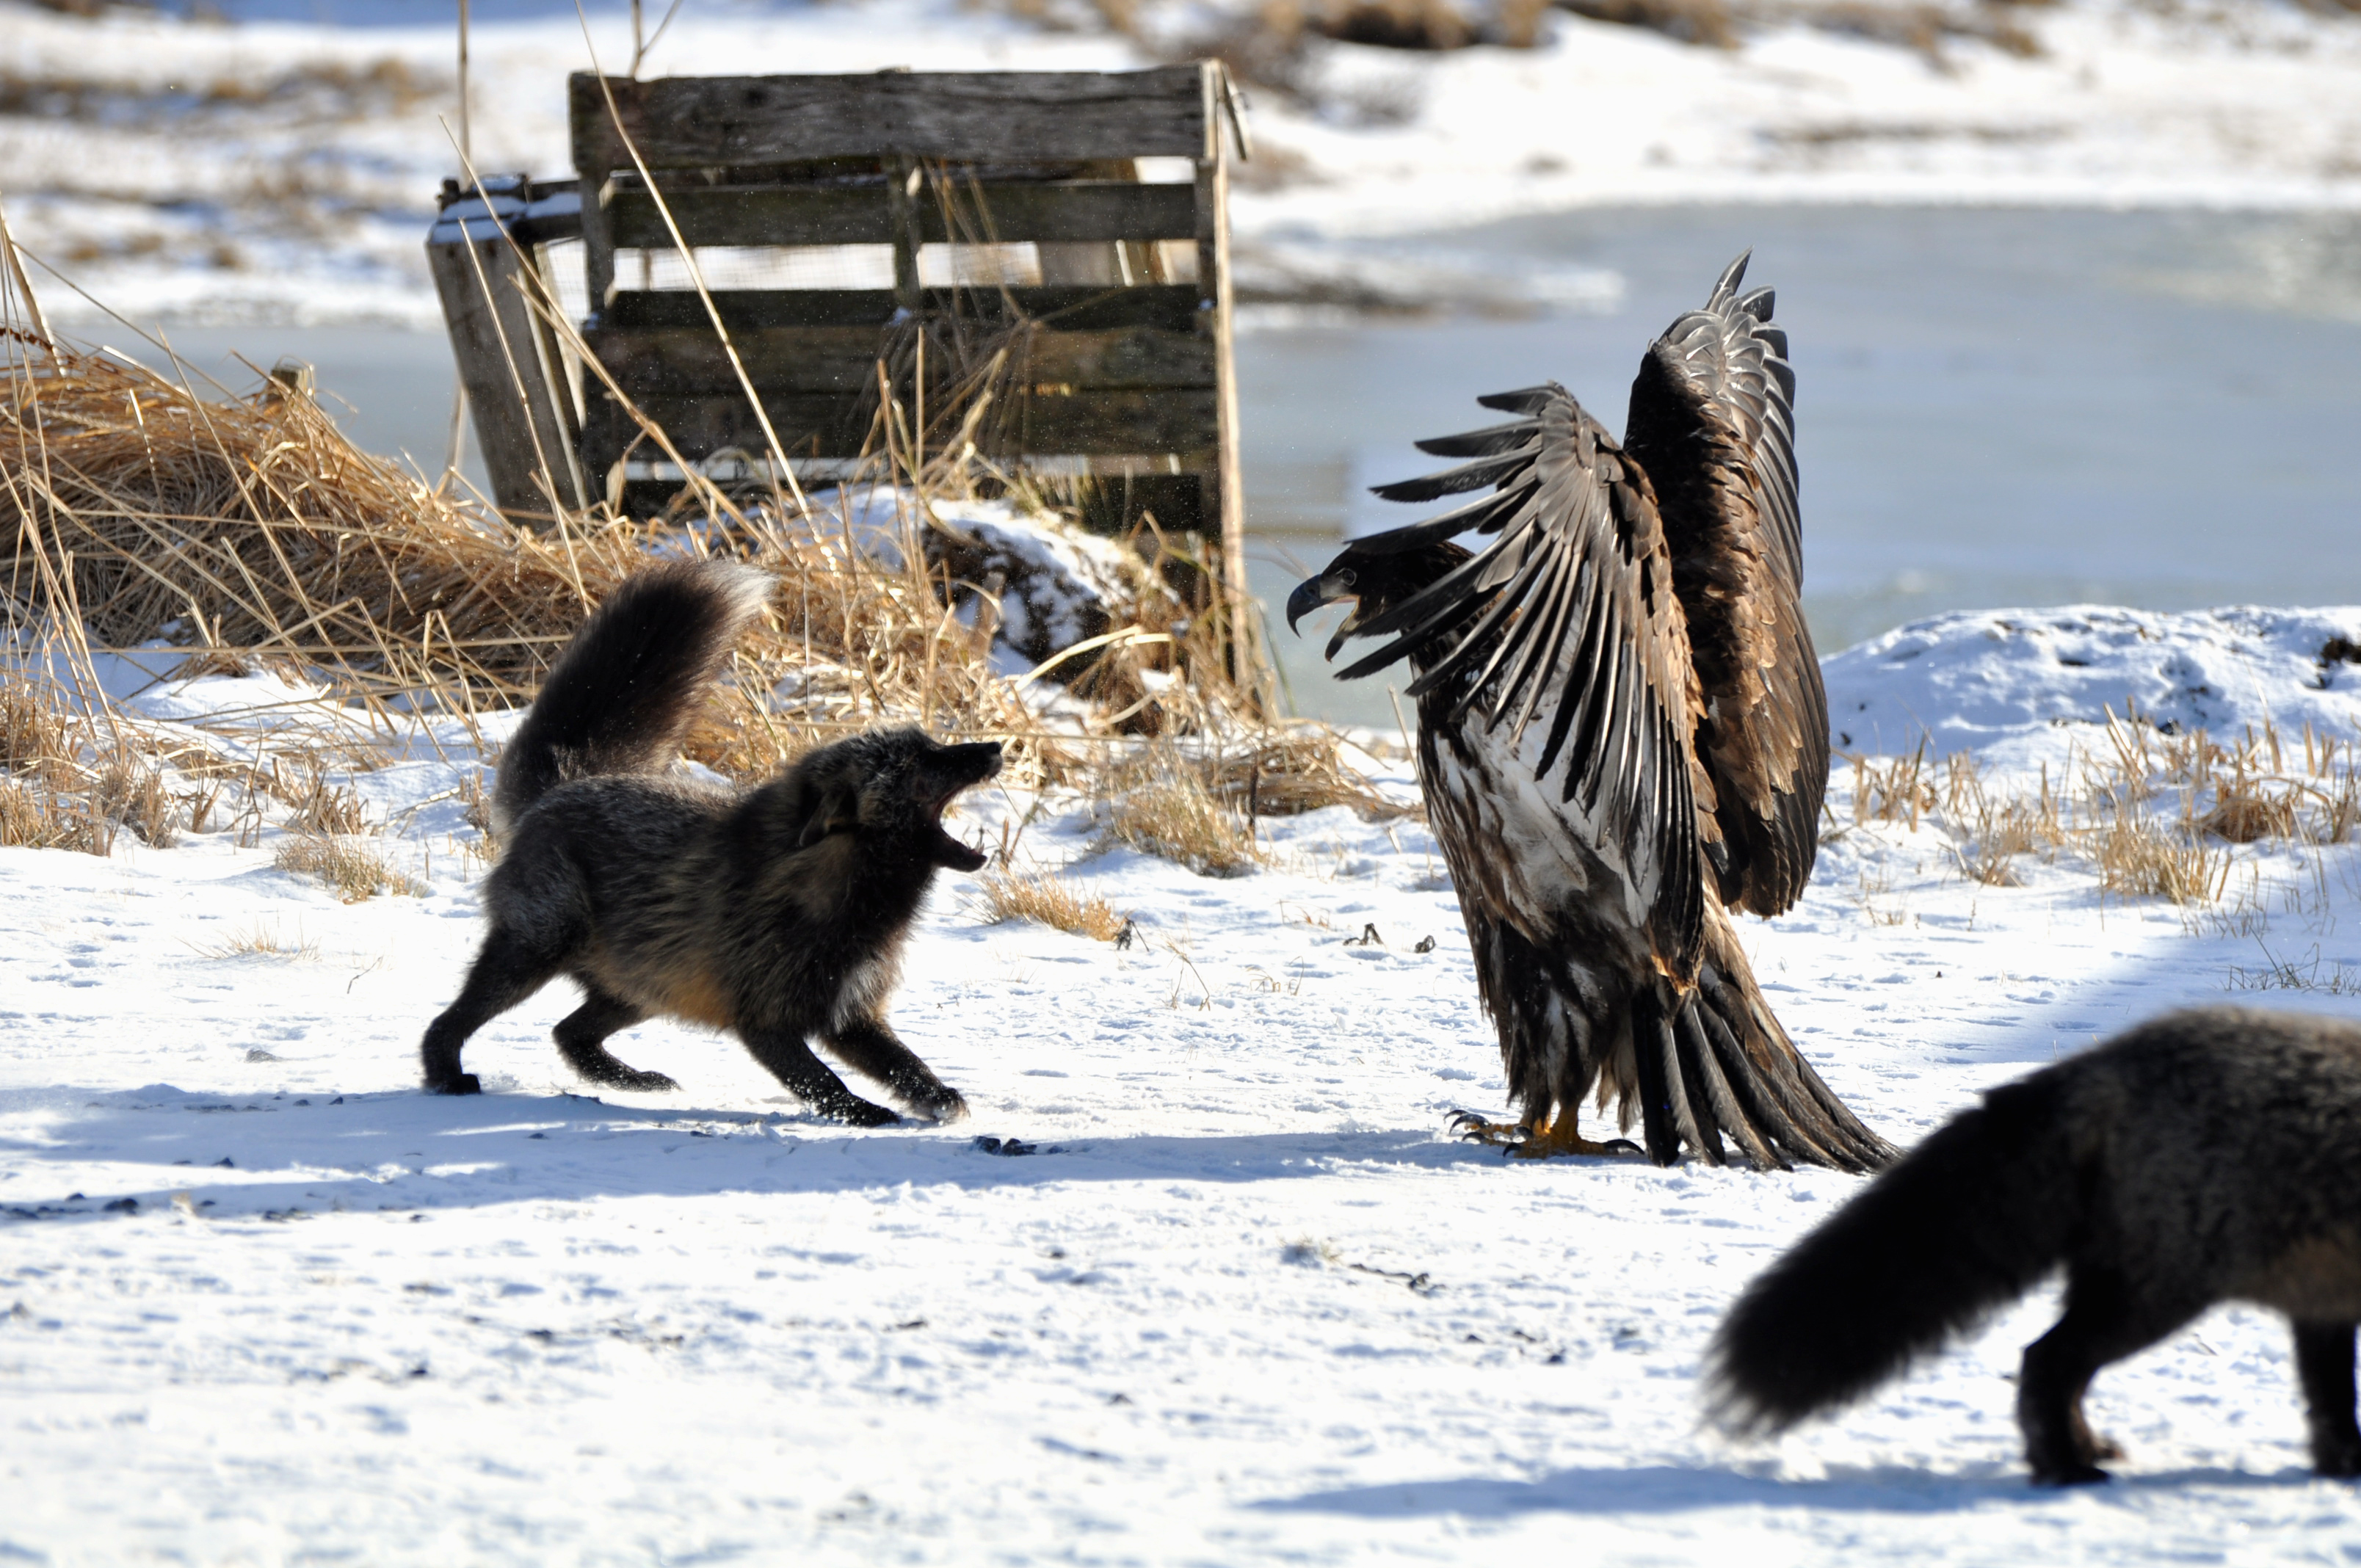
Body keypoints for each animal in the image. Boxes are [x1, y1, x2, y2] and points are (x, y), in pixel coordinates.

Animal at [420, 557, 1001, 1119]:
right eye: (923, 761)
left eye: (932, 745)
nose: (995, 747)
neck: (847, 907)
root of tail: (564, 785)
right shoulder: (764, 1019)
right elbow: (824, 1083)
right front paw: (865, 1115)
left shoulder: (851, 1016)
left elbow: (908, 1066)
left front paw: (940, 1102)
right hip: (537, 952)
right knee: (448, 1024)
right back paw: (445, 1077)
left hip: (645, 987)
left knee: (567, 1033)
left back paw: (633, 1081)